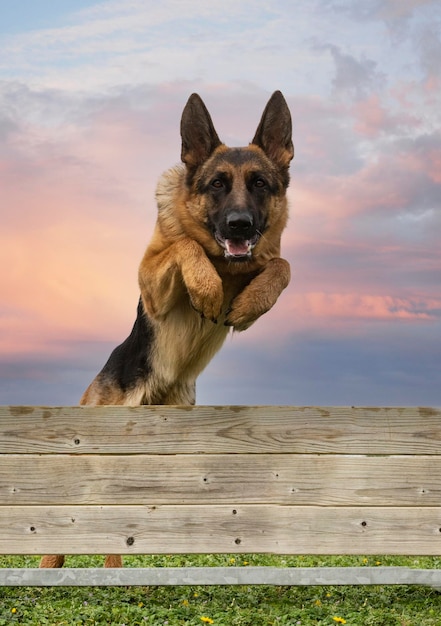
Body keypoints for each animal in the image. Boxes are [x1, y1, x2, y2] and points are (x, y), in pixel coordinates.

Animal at [40, 90, 292, 568]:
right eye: (217, 184)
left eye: (259, 184)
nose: (239, 224)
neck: (223, 262)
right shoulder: (152, 283)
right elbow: (185, 243)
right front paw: (207, 292)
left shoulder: (263, 262)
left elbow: (282, 267)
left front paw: (248, 303)